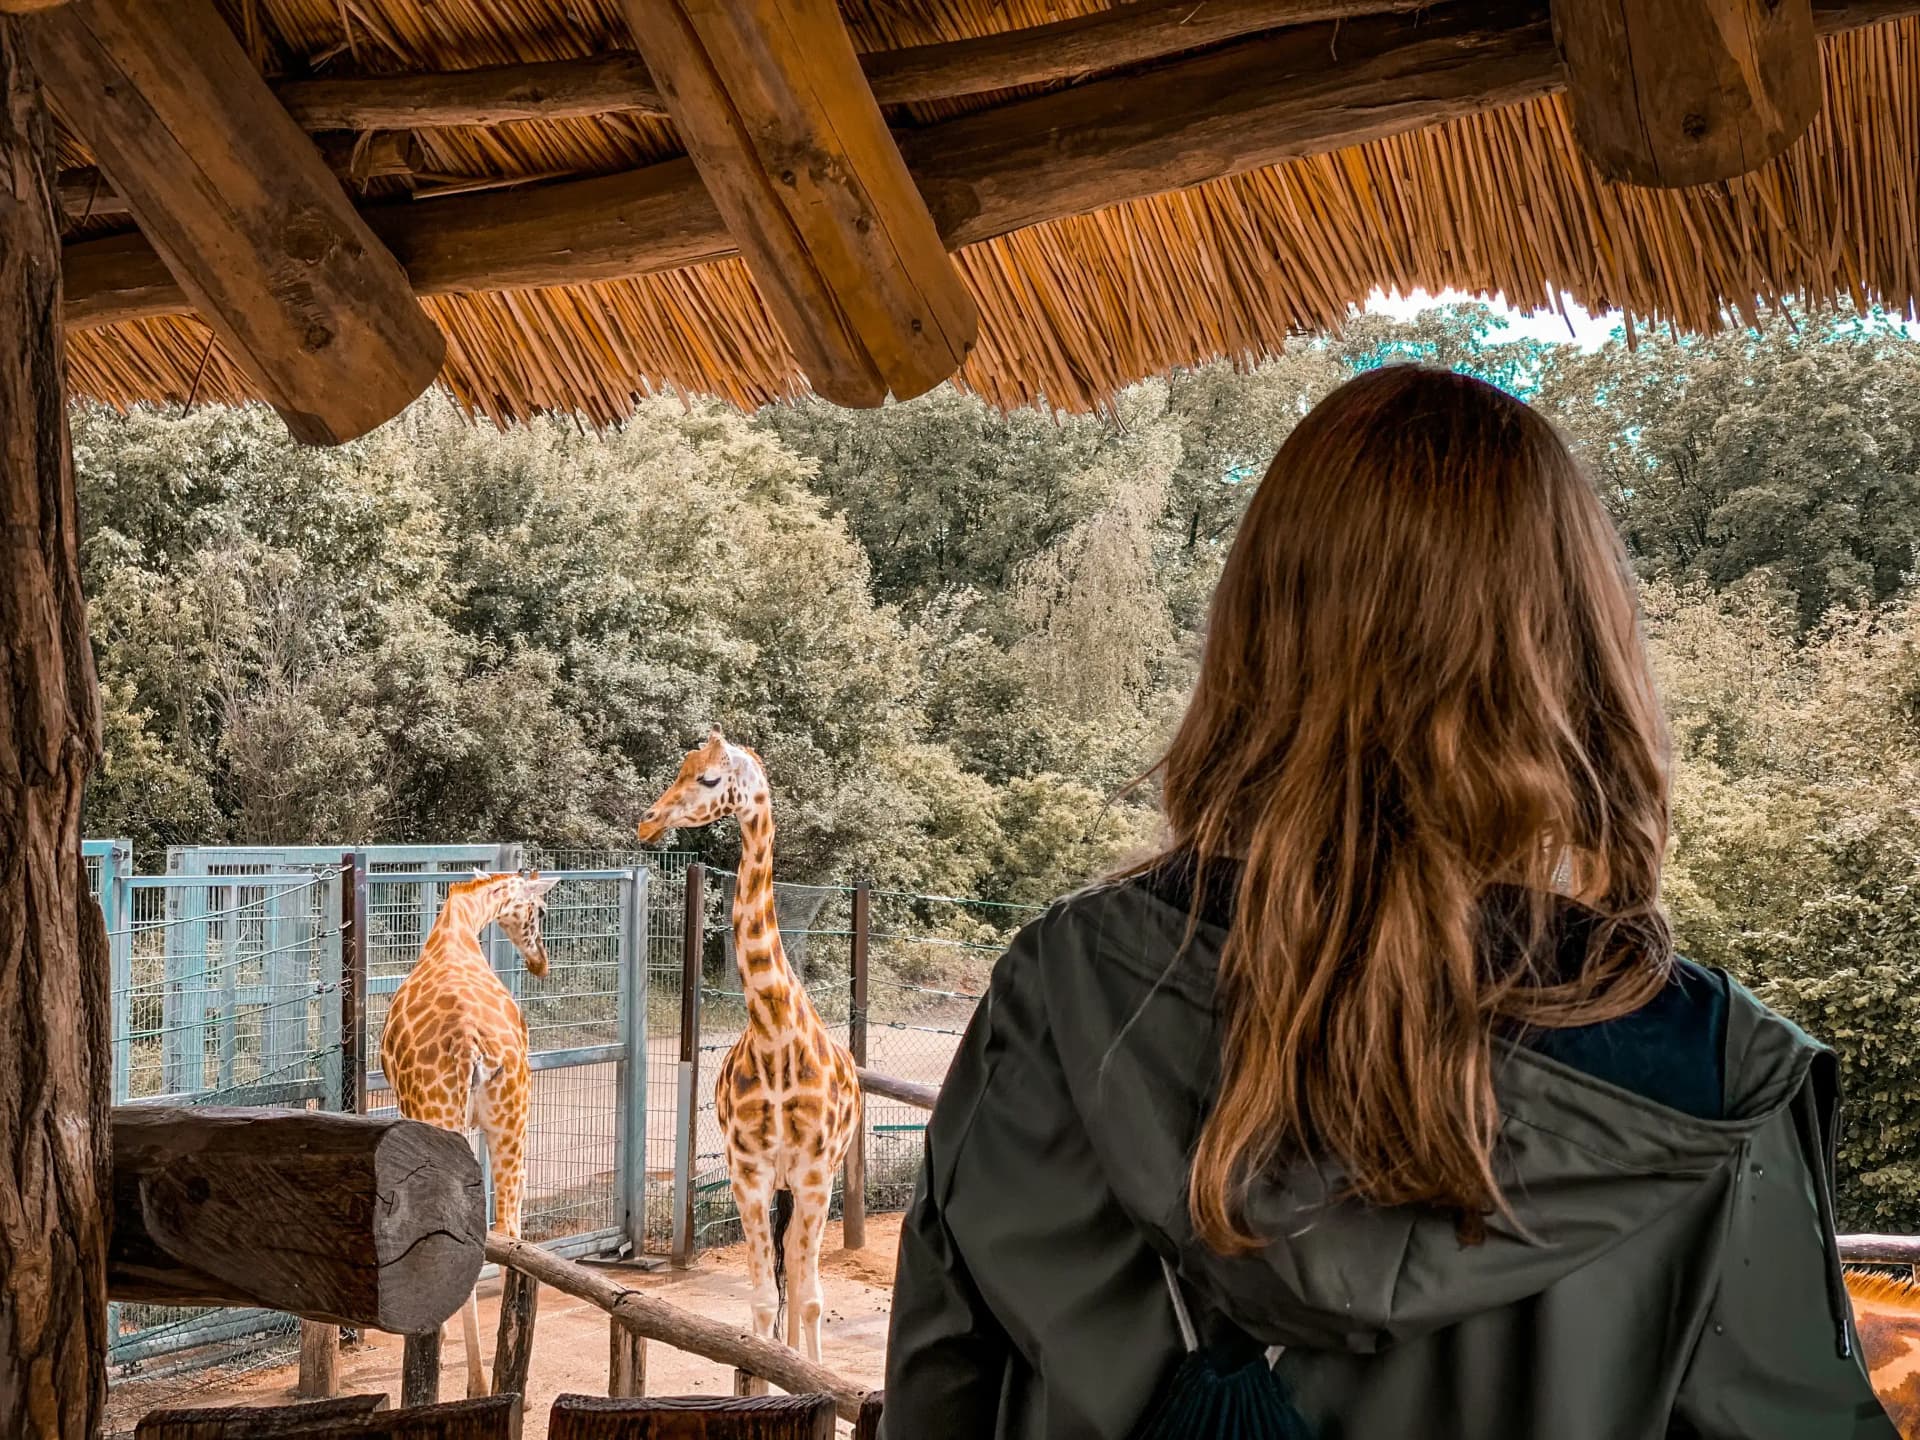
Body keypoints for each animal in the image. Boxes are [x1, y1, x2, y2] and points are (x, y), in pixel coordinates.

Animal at [378, 868, 558, 1397]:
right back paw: (501, 1370)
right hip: (514, 1115)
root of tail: (472, 1046)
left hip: (439, 1110)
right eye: (540, 911)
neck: (457, 925)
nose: (540, 964)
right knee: (510, 1226)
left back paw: (475, 1379)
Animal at [637, 726, 862, 1362]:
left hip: (818, 1182)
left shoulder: (814, 1176)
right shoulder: (750, 1175)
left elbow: (807, 1299)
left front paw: (813, 1379)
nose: (646, 822)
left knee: (804, 1287)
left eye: (709, 777)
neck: (775, 1029)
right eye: (681, 768)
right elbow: (763, 1304)